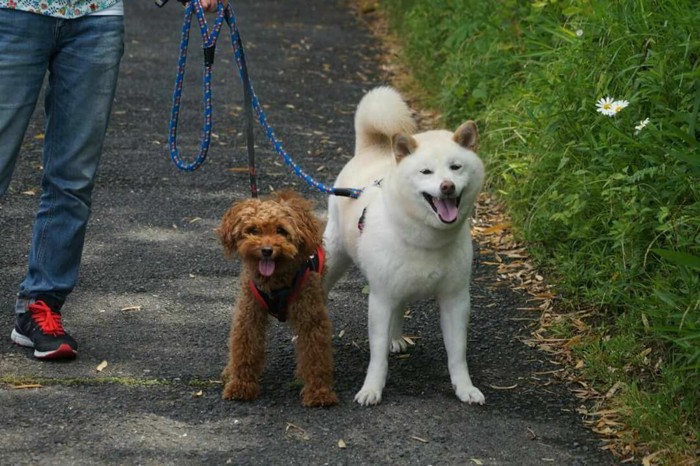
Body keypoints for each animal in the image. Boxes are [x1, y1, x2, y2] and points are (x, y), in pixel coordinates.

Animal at [324, 86, 484, 404]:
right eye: (426, 172)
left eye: (455, 167)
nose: (447, 186)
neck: (427, 239)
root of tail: (371, 149)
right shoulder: (381, 298)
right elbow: (377, 358)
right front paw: (372, 389)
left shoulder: (455, 299)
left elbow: (457, 354)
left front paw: (465, 388)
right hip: (334, 258)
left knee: (400, 310)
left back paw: (396, 337)